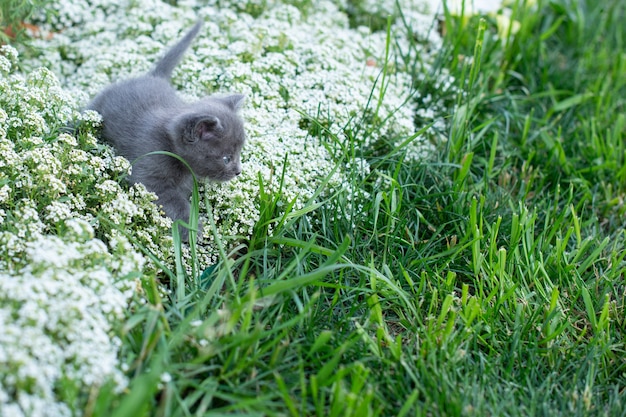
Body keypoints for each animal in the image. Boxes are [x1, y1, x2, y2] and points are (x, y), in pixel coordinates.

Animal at [88, 20, 244, 240]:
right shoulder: (150, 172)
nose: (238, 171)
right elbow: (173, 202)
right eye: (226, 158)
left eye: (239, 153)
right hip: (98, 106)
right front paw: (192, 230)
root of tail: (153, 76)